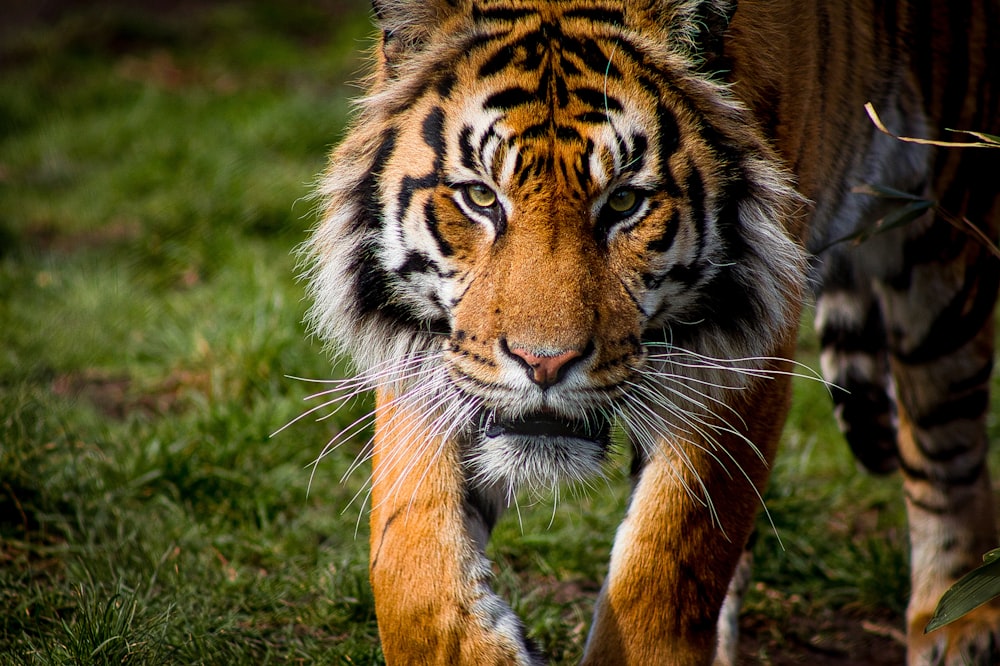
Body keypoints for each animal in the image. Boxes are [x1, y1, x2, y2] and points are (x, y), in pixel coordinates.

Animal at [304, 0, 1000, 660]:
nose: (544, 363)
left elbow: (664, 566)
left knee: (947, 450)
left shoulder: (737, 357)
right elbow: (410, 567)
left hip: (943, 240)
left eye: (622, 202)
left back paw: (954, 623)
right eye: (480, 198)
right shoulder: (433, 361)